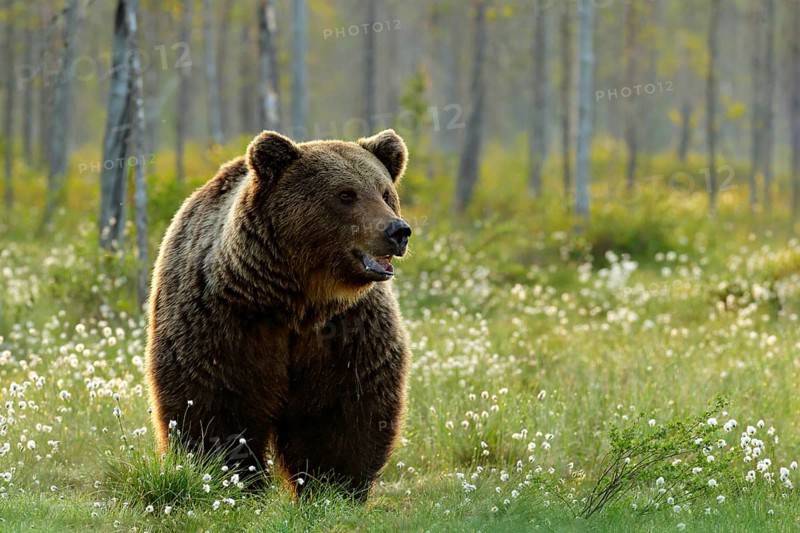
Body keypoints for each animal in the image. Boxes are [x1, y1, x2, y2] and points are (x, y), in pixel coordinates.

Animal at [145, 129, 412, 501]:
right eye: (346, 194)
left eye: (386, 192)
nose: (397, 231)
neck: (298, 303)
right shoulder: (224, 323)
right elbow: (217, 407)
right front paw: (234, 480)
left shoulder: (349, 330)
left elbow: (341, 413)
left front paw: (333, 487)